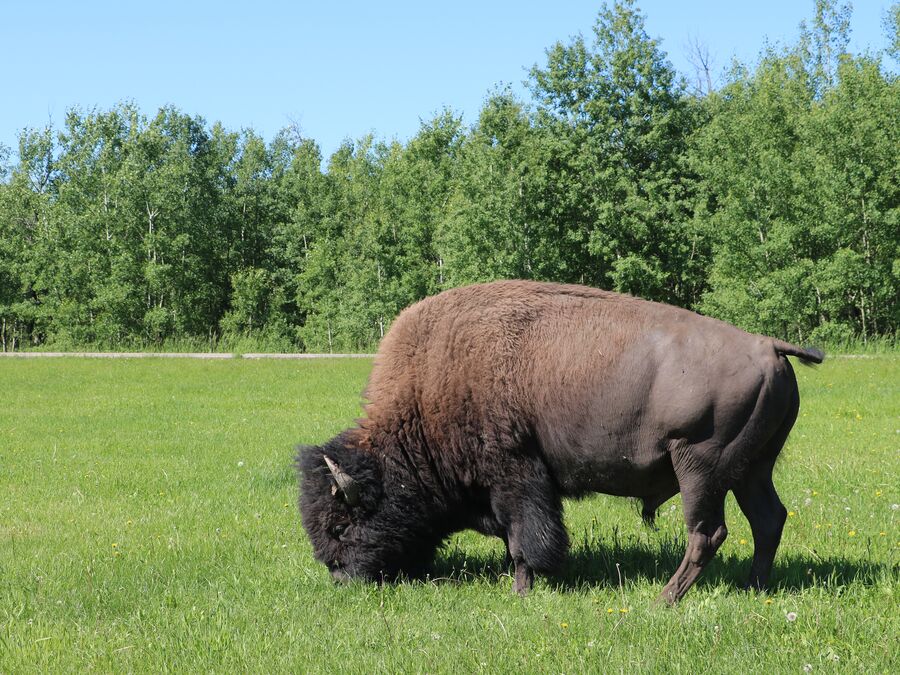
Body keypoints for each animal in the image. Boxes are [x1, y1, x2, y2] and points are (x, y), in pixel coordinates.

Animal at [298, 280, 823, 602]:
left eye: (341, 526)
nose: (341, 578)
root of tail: (768, 346)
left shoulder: (517, 478)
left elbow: (524, 540)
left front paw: (521, 589)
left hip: (700, 468)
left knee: (707, 533)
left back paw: (664, 600)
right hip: (752, 469)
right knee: (768, 520)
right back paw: (753, 588)